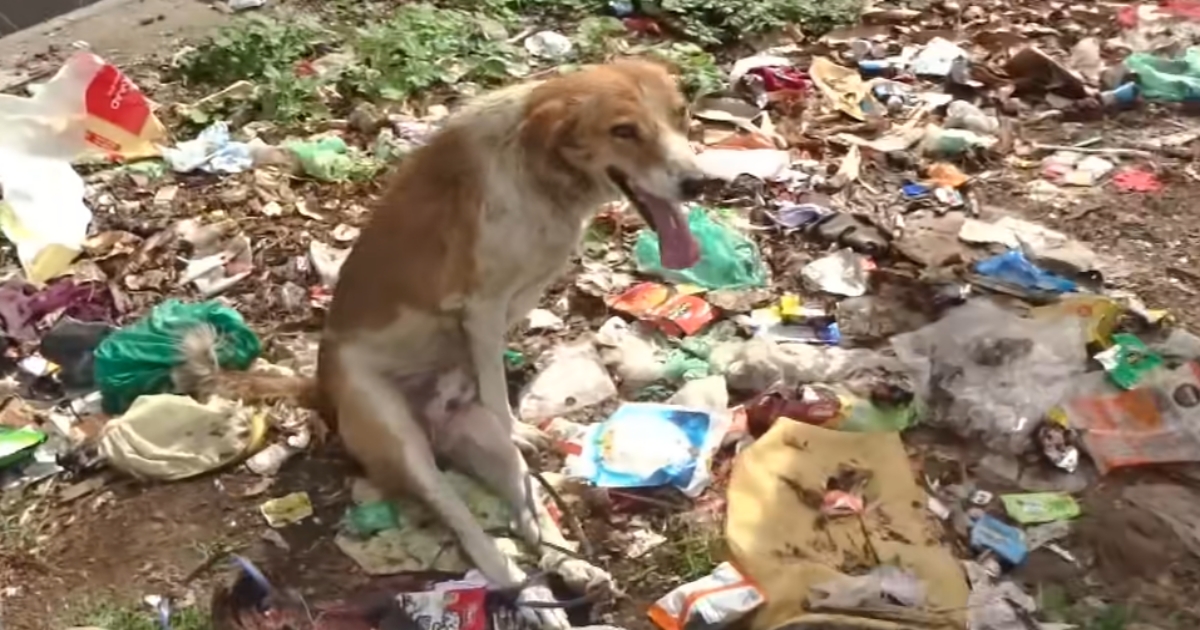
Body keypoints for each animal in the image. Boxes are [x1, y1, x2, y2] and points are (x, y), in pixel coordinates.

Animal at [182, 57, 705, 624]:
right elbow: (498, 394)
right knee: (479, 538)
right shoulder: (482, 308)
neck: (543, 174)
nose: (699, 183)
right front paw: (518, 424)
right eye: (623, 131)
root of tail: (320, 388)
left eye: (680, 114)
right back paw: (530, 596)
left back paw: (572, 569)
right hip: (401, 441)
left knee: (525, 513)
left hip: (479, 440)